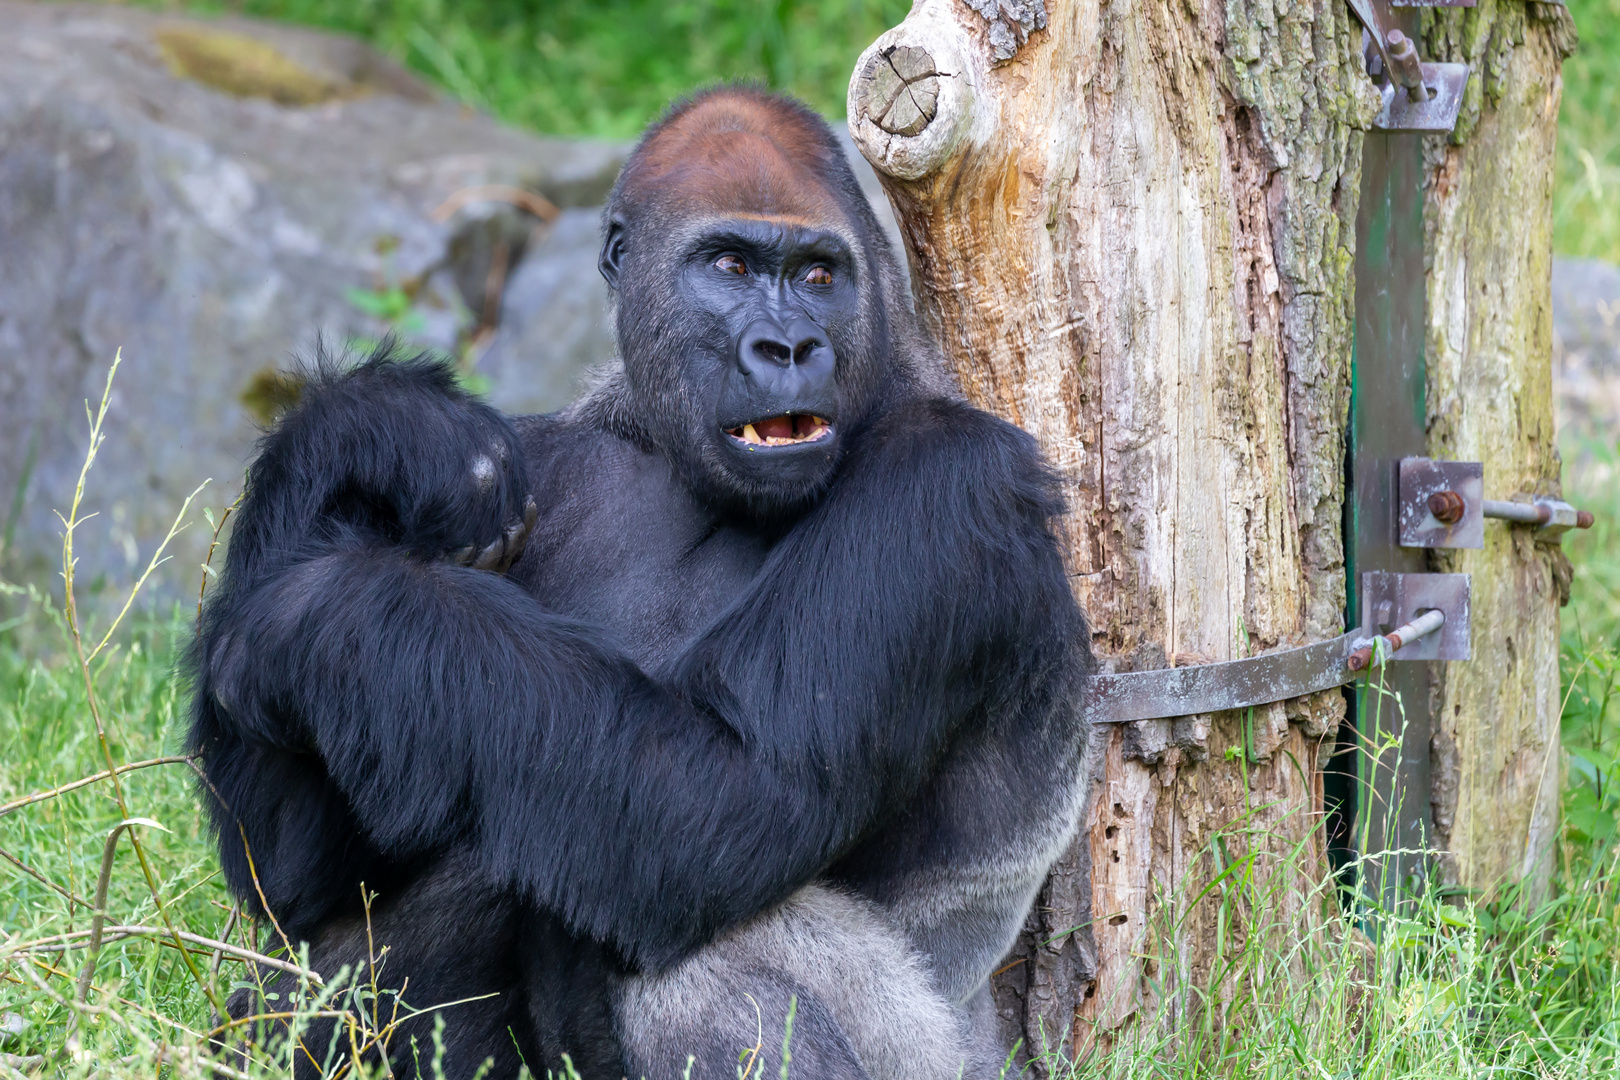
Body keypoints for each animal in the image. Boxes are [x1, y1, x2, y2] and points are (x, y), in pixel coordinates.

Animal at [192, 90, 1101, 1080]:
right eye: (730, 265)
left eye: (820, 275)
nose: (789, 346)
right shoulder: (544, 458)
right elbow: (305, 877)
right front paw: (372, 426)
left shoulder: (951, 487)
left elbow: (731, 798)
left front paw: (314, 614)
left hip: (945, 1059)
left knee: (701, 937)